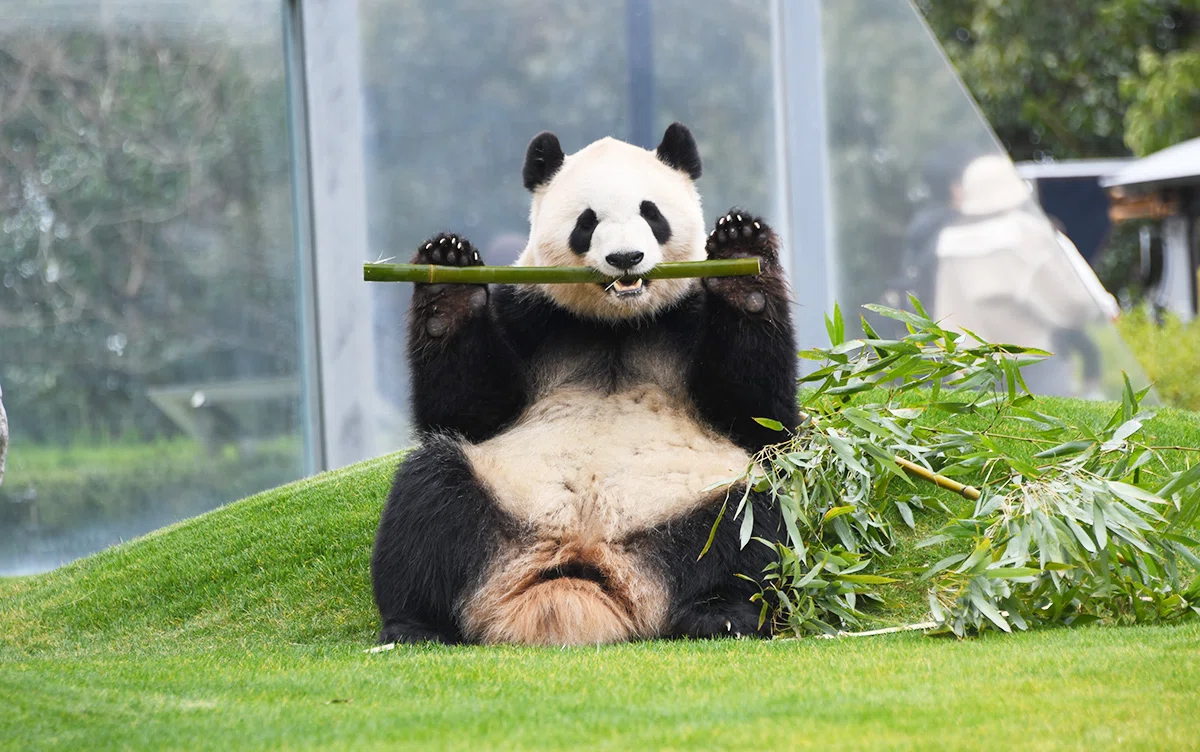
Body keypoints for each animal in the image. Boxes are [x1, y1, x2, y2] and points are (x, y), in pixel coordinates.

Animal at [371, 123, 798, 645]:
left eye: (651, 212)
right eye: (587, 221)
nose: (626, 258)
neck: (616, 323)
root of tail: (586, 558)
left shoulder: (687, 312)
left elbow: (759, 413)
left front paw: (740, 257)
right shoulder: (531, 314)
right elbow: (463, 411)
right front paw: (445, 280)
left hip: (694, 505)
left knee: (750, 520)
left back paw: (721, 613)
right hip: (496, 505)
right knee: (429, 498)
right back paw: (415, 625)